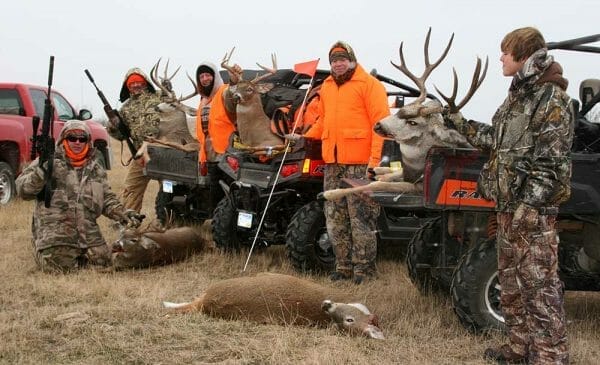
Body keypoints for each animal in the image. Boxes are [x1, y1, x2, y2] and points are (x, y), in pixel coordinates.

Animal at [324, 27, 488, 199]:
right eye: (400, 111)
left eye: (413, 122)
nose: (378, 125)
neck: (418, 165)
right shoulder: (407, 173)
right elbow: (385, 178)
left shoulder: (419, 187)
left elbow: (379, 184)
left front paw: (329, 193)